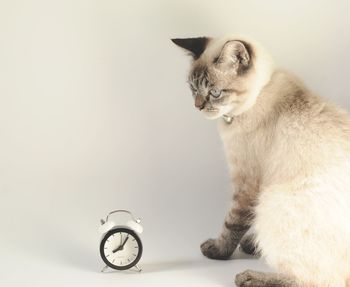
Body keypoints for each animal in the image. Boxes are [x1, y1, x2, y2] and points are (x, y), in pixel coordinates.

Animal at [173, 36, 350, 287]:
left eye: (215, 92)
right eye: (193, 88)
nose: (197, 106)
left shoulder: (247, 184)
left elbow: (232, 223)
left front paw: (218, 251)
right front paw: (250, 244)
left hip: (272, 201)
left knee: (320, 280)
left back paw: (249, 277)